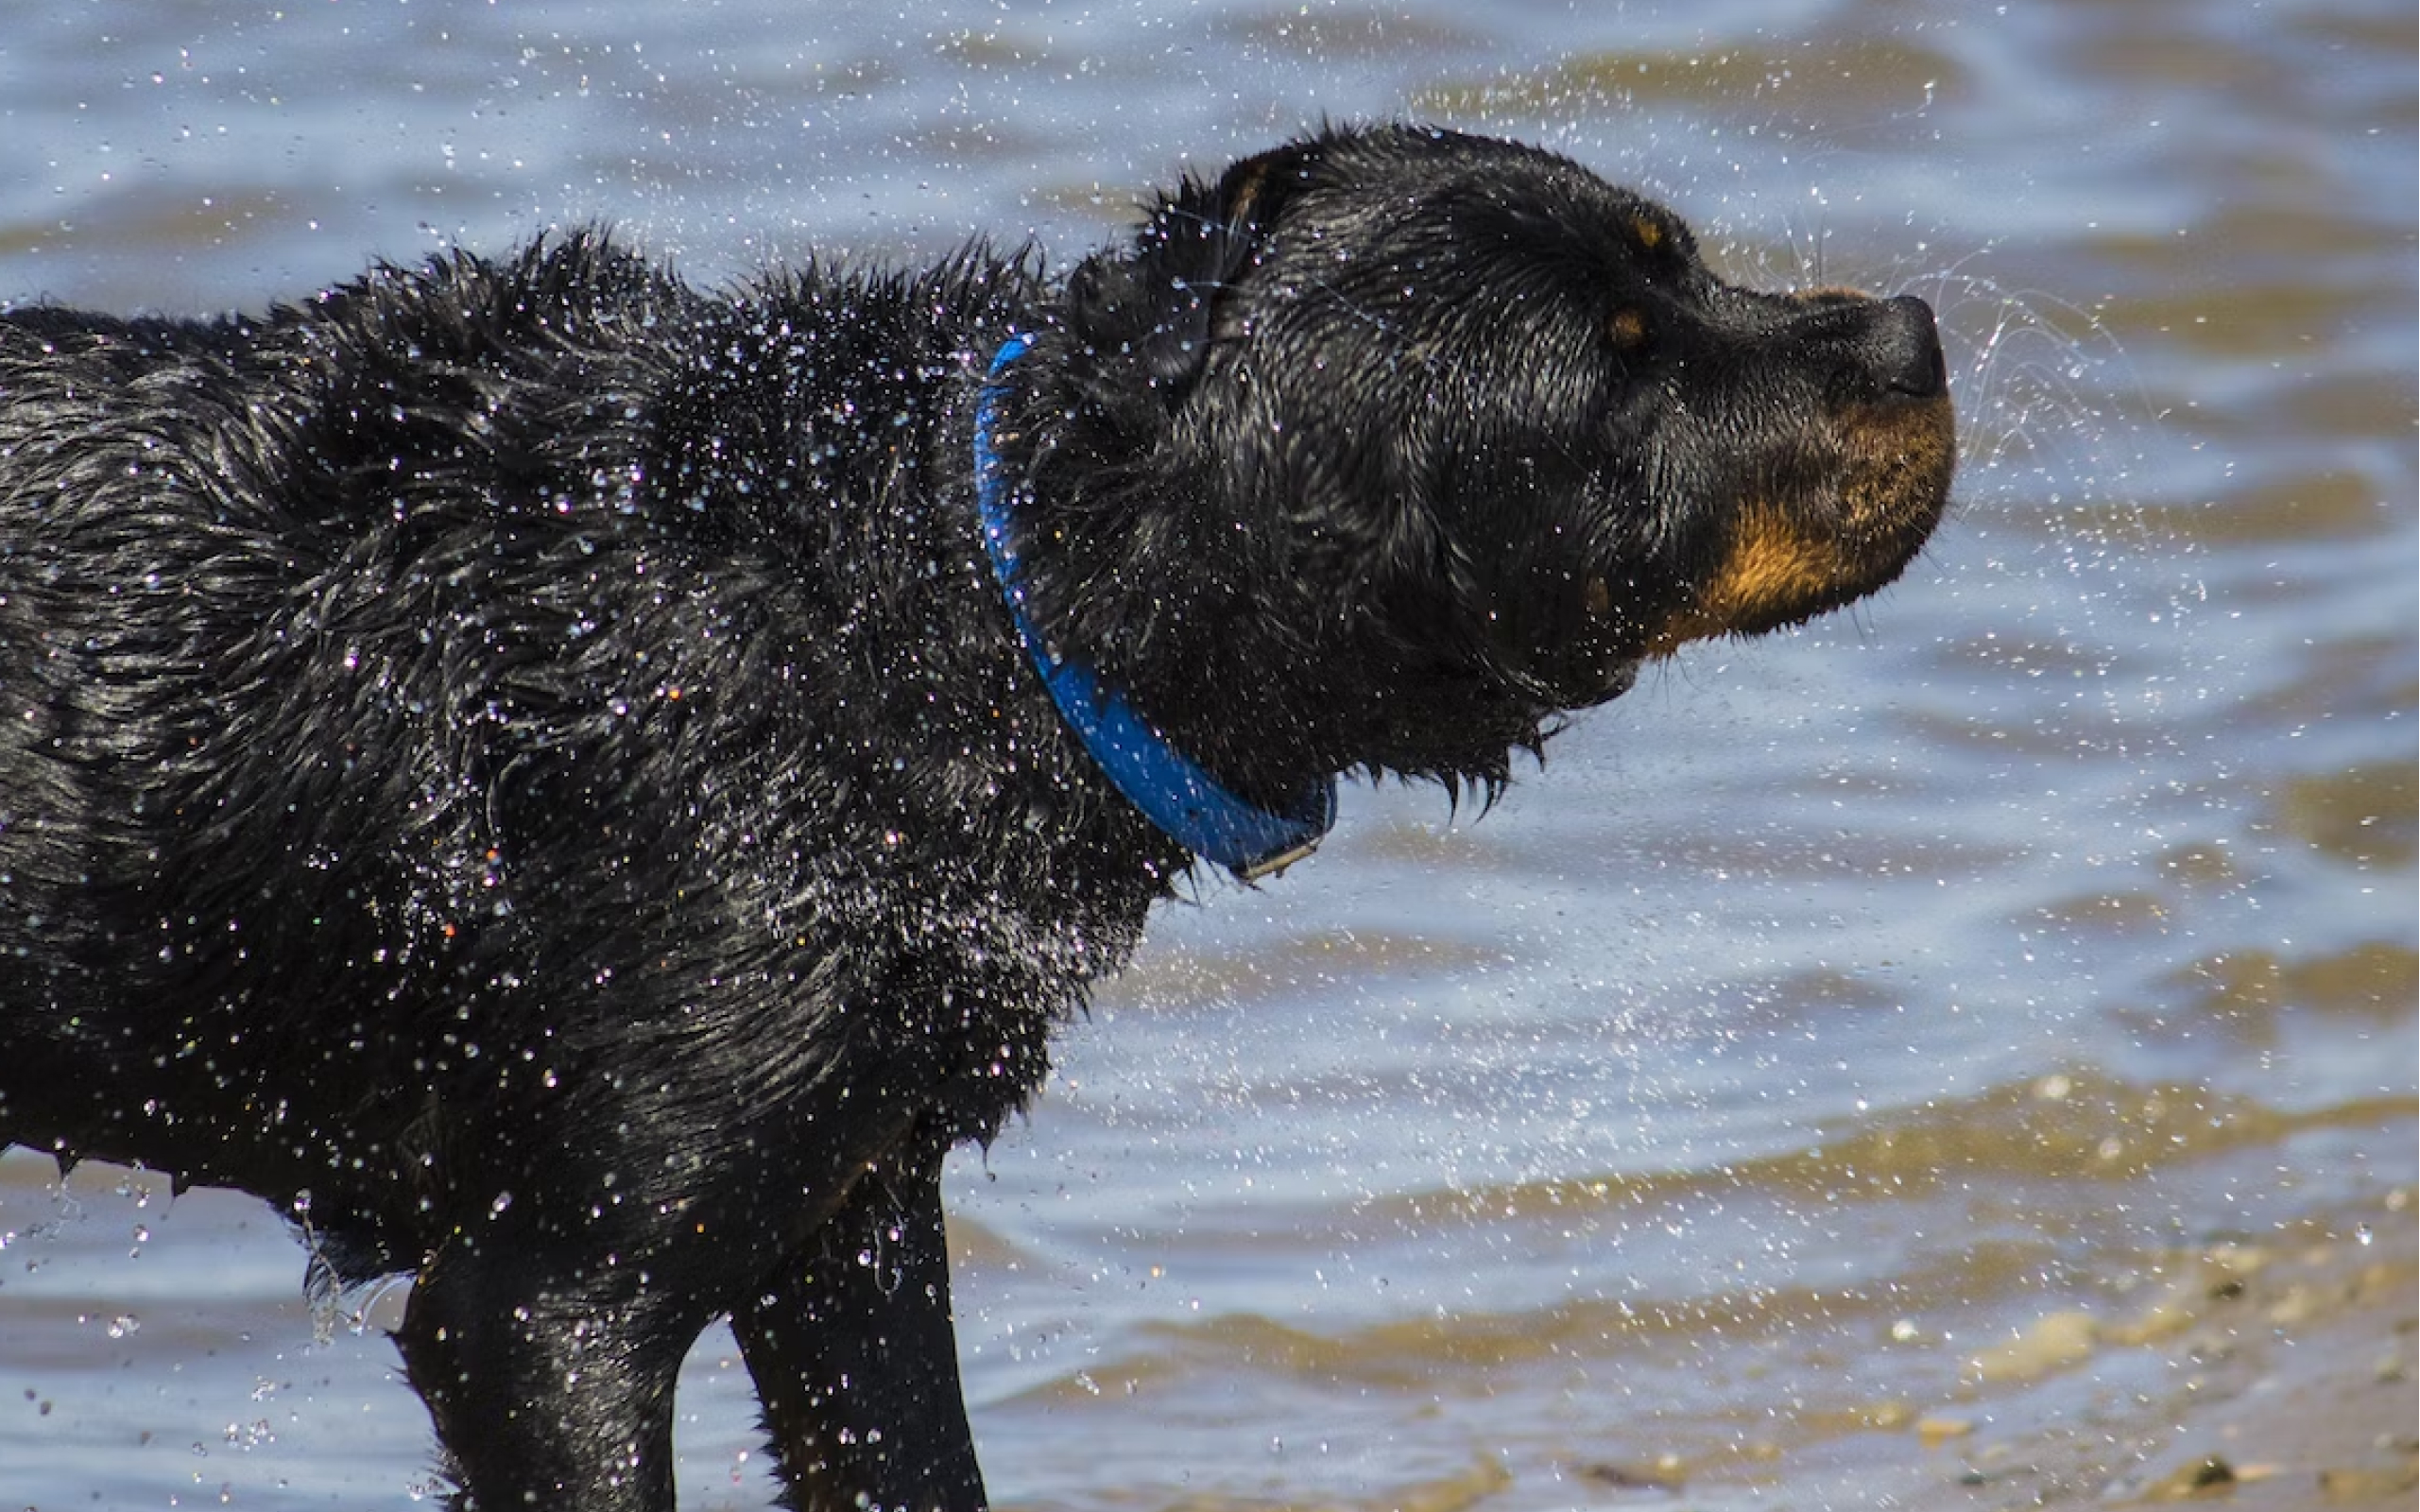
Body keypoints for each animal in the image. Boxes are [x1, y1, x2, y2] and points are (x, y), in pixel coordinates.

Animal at [0, 124, 1946, 1500]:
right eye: (1626, 375)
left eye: (1680, 262)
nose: (1916, 333)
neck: (959, 604)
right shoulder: (543, 1311)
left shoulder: (849, 1213)